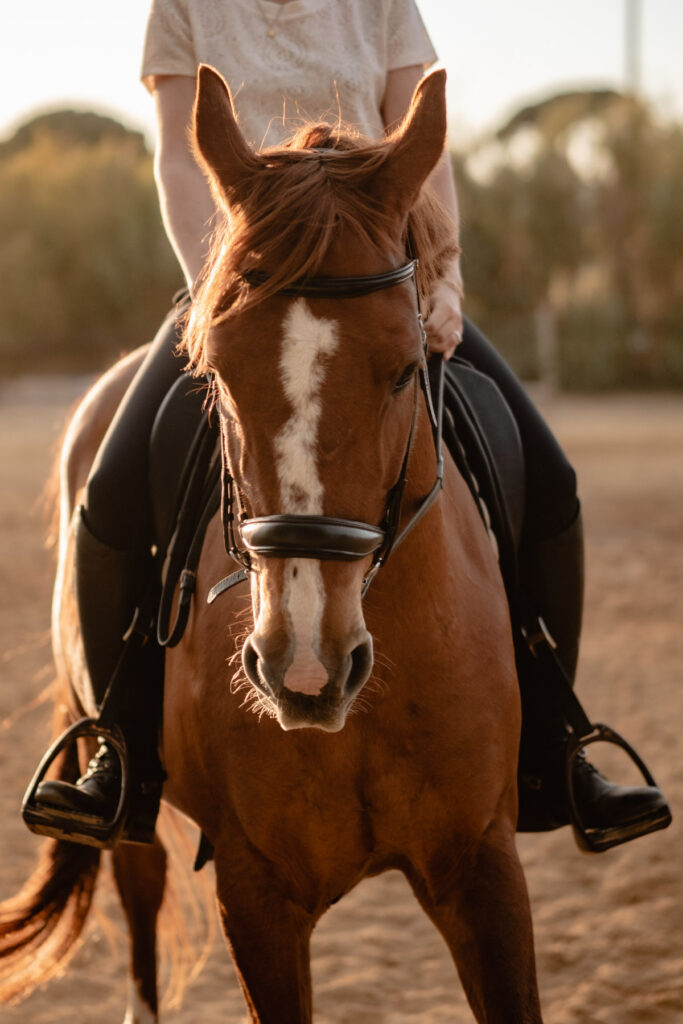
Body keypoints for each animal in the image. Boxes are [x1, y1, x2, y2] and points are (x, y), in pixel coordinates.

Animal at [0, 67, 543, 1023]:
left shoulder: (484, 869)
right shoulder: (257, 896)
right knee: (139, 893)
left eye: (404, 367)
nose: (305, 666)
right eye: (215, 370)